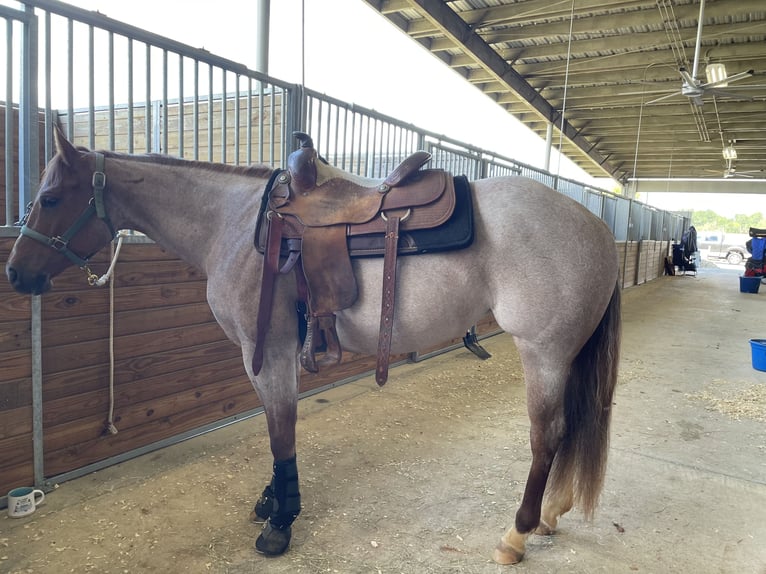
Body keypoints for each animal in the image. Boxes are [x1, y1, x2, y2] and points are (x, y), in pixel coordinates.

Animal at [5, 127, 621, 565]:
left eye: (51, 197)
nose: (15, 274)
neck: (237, 227)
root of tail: (594, 226)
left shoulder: (267, 351)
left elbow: (281, 430)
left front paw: (280, 522)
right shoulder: (280, 355)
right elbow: (277, 425)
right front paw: (272, 501)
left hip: (543, 352)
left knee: (548, 436)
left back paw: (516, 534)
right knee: (571, 427)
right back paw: (552, 514)